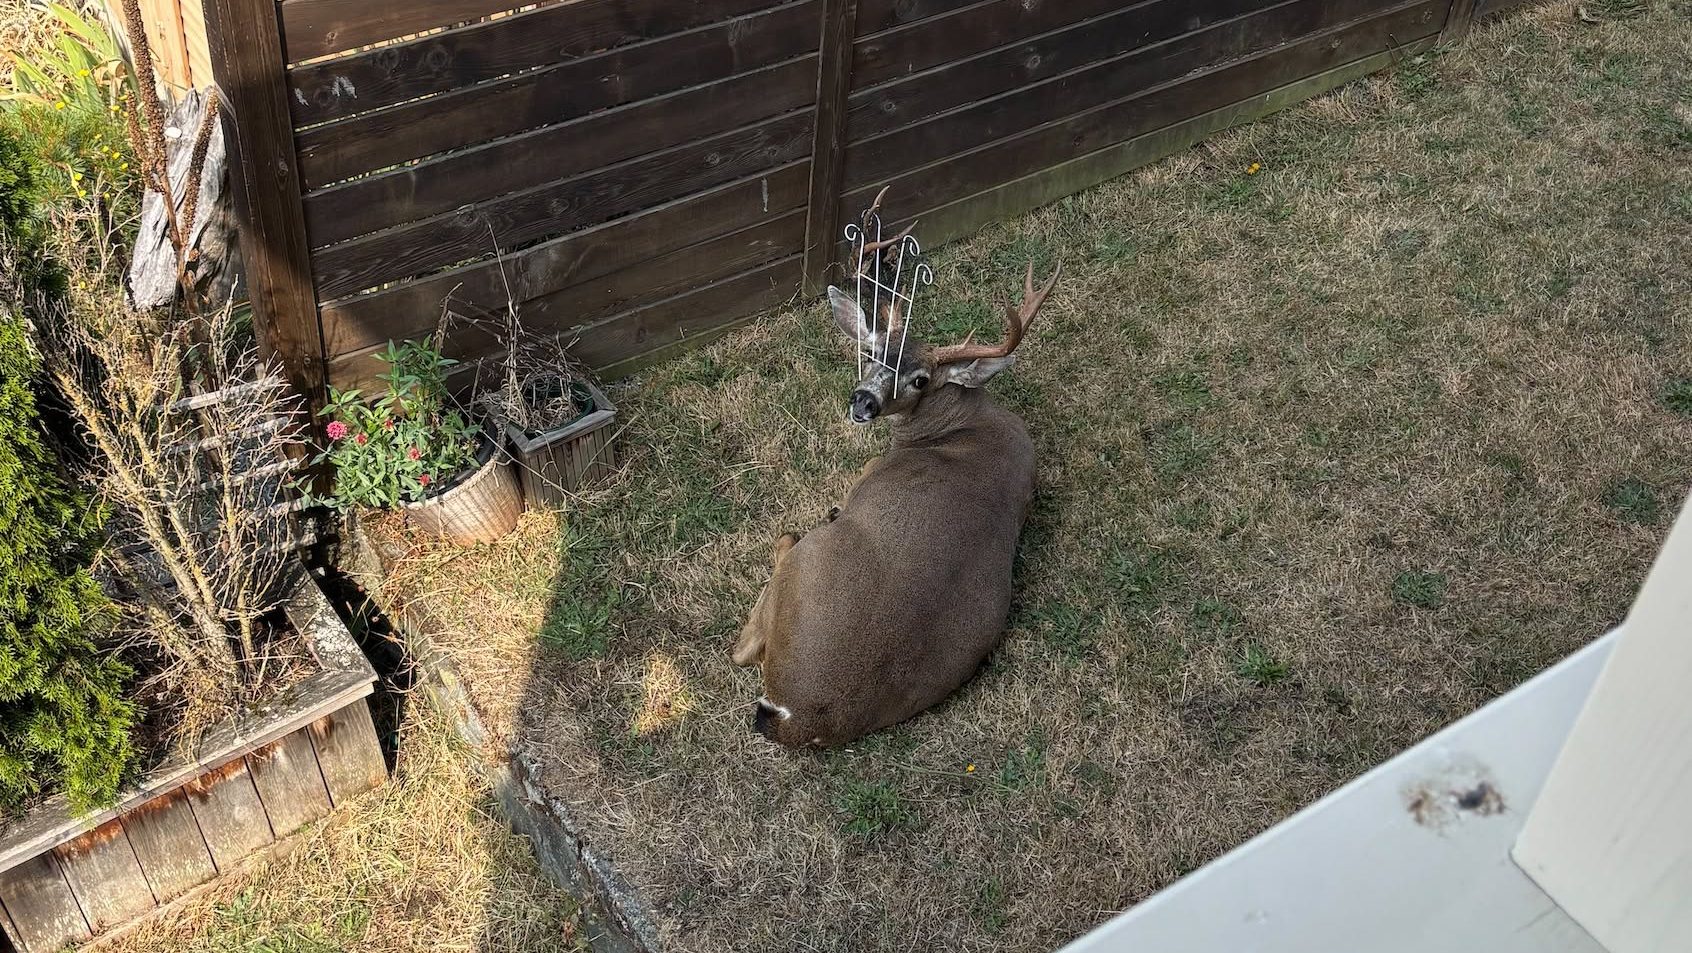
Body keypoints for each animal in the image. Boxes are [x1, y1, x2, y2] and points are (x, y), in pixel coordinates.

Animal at [731, 239, 1061, 748]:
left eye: (920, 378)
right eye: (871, 351)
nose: (863, 400)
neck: (963, 426)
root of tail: (796, 718)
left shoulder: (869, 471)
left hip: (808, 558)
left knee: (744, 644)